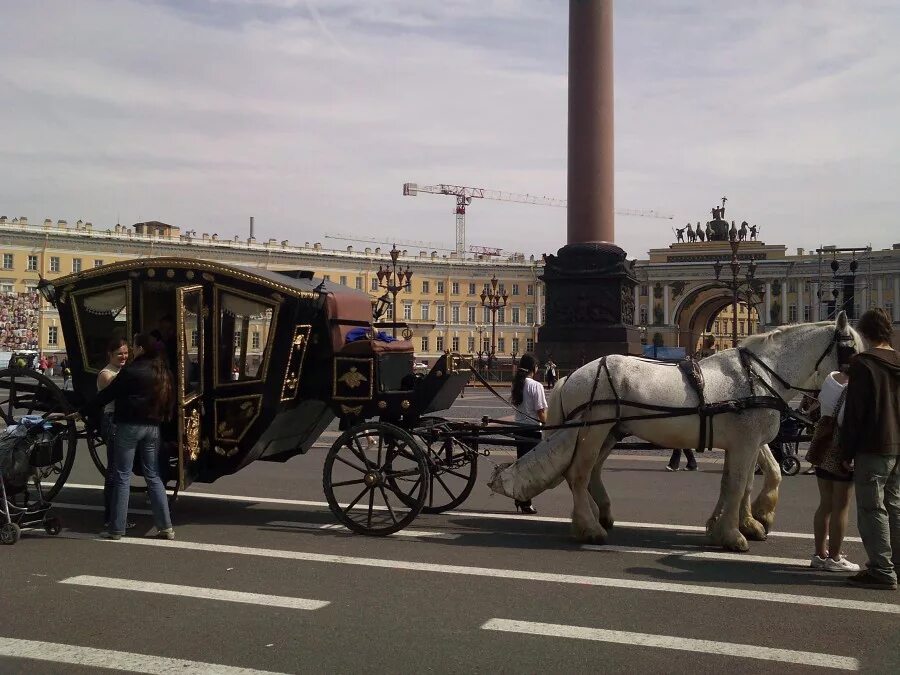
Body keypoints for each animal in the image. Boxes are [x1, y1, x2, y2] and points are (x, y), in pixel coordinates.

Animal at [492, 314, 864, 552]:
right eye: (853, 352)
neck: (758, 376)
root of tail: (570, 376)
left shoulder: (747, 442)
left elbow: (749, 481)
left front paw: (745, 521)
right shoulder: (746, 442)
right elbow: (738, 484)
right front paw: (733, 534)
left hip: (609, 433)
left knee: (591, 473)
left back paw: (602, 516)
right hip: (591, 433)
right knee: (578, 475)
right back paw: (590, 528)